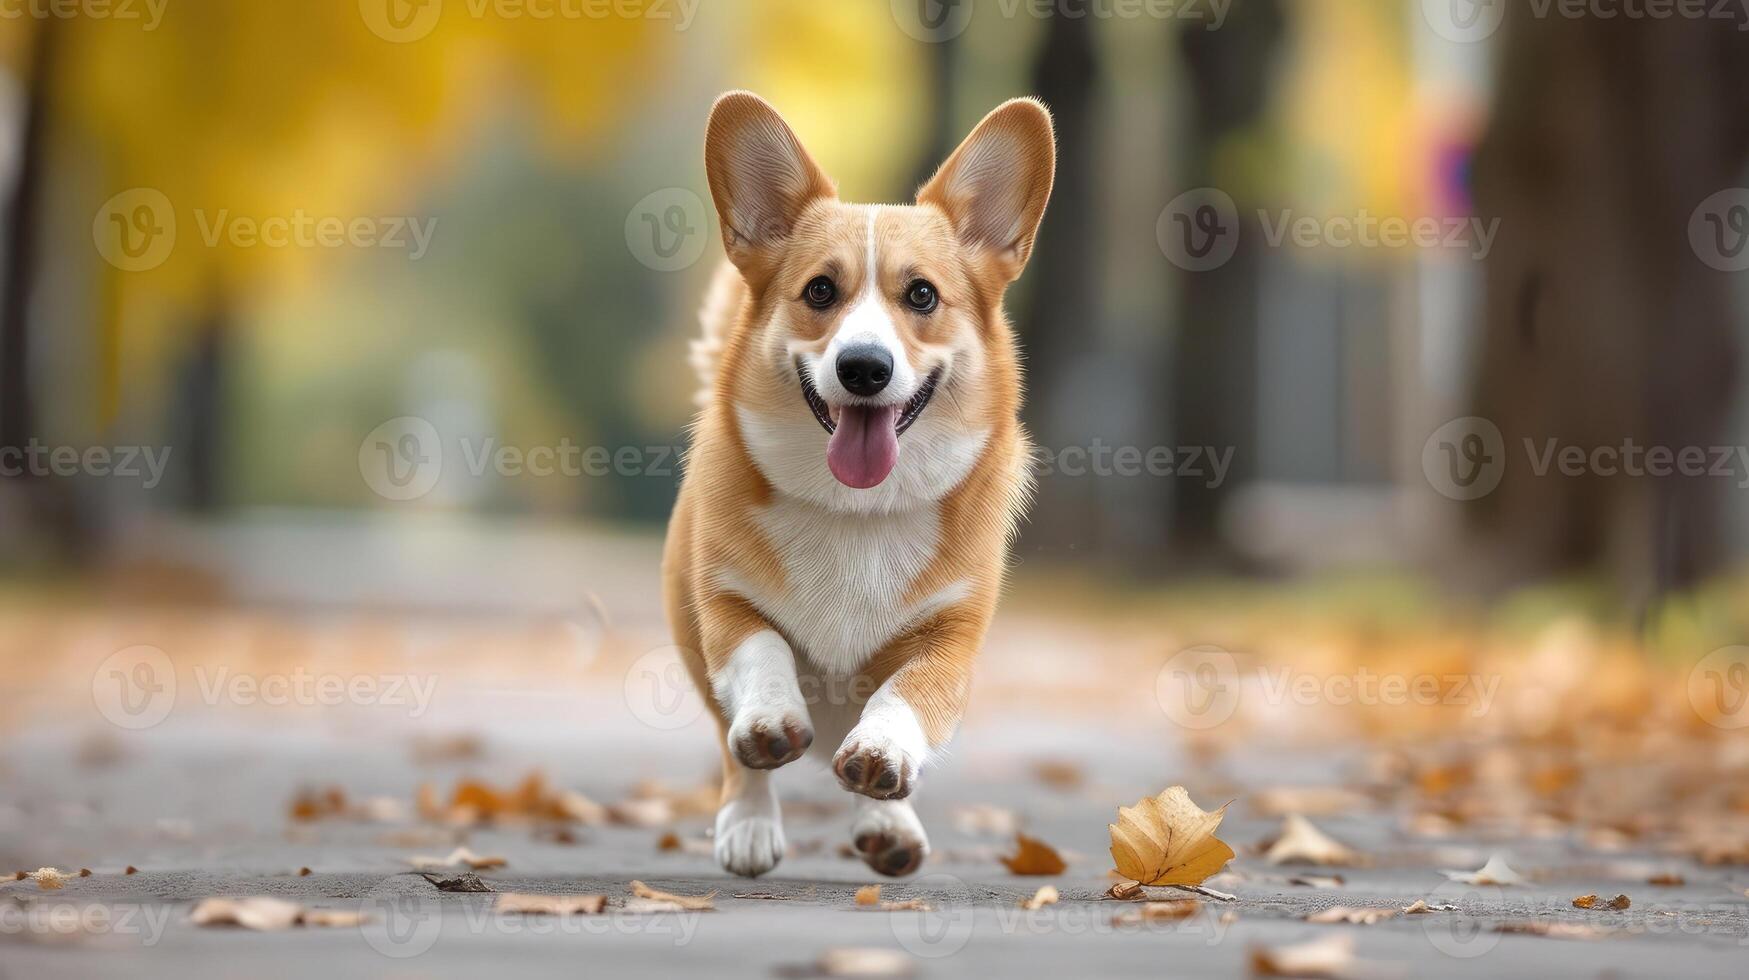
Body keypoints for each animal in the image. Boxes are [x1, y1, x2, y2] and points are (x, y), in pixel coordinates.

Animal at [661, 91, 1049, 882]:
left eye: (922, 295)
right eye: (819, 290)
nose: (864, 367)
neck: (857, 512)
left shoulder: (949, 639)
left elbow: (905, 695)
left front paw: (882, 756)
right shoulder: (724, 604)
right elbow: (763, 653)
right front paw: (770, 723)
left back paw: (886, 819)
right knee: (733, 746)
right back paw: (749, 822)